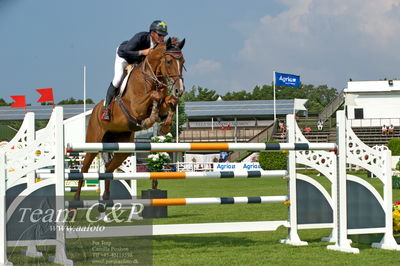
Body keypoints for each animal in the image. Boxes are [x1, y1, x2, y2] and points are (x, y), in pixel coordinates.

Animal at [73, 37, 186, 204]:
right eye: (169, 61)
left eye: (183, 62)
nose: (180, 90)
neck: (151, 77)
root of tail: (94, 111)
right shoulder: (137, 107)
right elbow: (156, 96)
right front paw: (150, 119)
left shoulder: (164, 103)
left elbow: (170, 101)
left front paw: (164, 127)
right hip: (93, 142)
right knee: (84, 169)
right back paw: (75, 199)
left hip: (123, 148)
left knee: (109, 168)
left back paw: (106, 198)